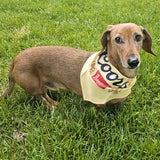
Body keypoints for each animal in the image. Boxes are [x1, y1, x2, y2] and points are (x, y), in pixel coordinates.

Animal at [0, 23, 156, 109]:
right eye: (117, 39)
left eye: (138, 37)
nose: (133, 62)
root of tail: (16, 58)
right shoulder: (98, 103)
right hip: (33, 87)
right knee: (40, 98)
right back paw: (51, 107)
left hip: (41, 86)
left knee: (44, 95)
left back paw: (55, 103)